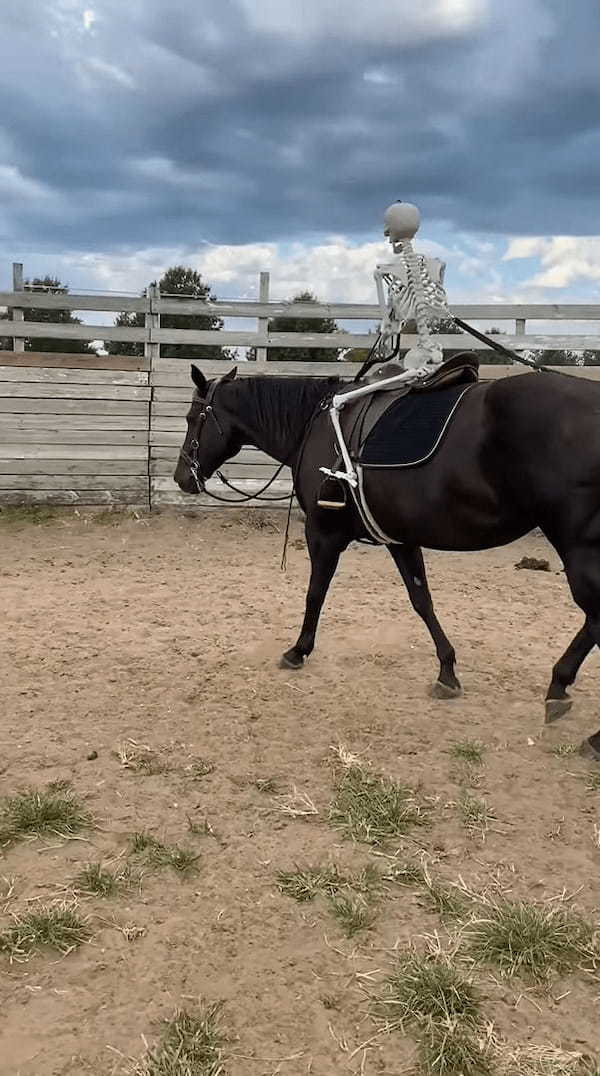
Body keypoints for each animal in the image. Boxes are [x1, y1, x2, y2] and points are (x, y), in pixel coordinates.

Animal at [174, 361, 600, 757]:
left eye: (193, 418)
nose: (182, 477)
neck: (319, 425)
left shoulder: (323, 534)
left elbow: (315, 594)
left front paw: (298, 650)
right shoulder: (401, 539)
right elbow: (422, 601)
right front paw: (447, 670)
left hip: (580, 548)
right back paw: (560, 687)